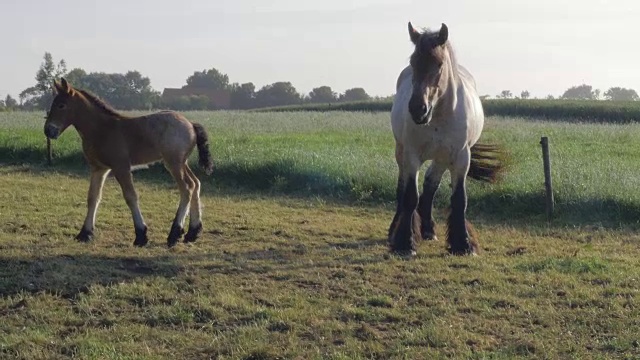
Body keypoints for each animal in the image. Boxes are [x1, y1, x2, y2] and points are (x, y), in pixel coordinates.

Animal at [45, 78, 215, 248]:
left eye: (61, 105)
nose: (48, 131)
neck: (102, 129)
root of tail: (191, 124)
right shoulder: (98, 168)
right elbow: (93, 197)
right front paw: (85, 233)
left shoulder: (121, 167)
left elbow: (131, 196)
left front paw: (141, 235)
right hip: (180, 162)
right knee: (195, 183)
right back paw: (192, 232)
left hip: (174, 163)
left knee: (186, 188)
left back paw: (174, 234)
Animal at [388, 21, 502, 256]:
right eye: (413, 62)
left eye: (439, 64)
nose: (418, 109)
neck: (439, 115)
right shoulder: (412, 156)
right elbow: (410, 196)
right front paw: (405, 243)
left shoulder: (460, 158)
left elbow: (459, 199)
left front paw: (463, 244)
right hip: (401, 152)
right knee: (402, 189)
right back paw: (397, 229)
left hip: (441, 159)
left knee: (431, 184)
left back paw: (428, 230)